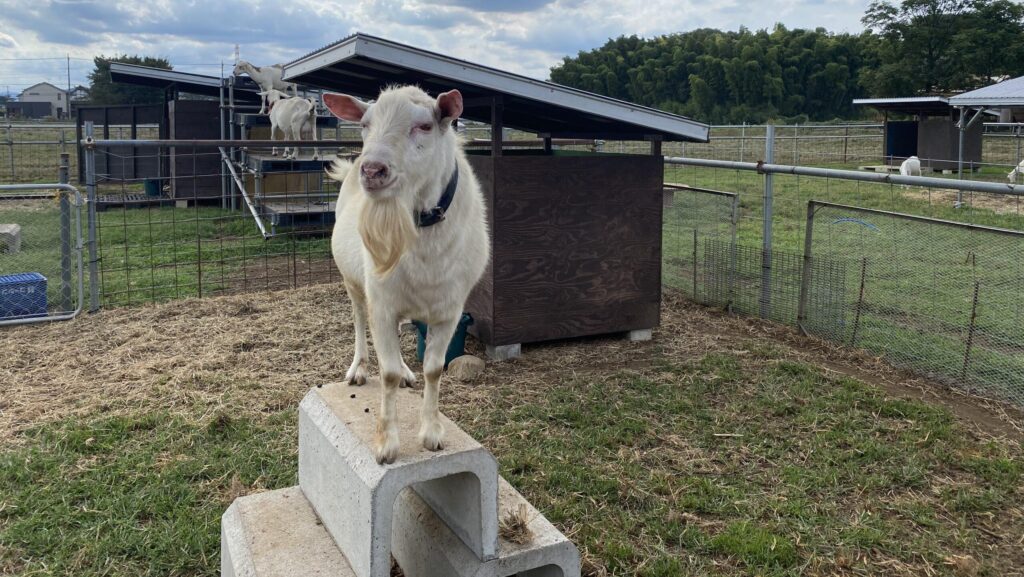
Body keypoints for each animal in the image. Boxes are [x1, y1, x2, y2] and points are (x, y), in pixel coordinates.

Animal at [323, 85, 491, 465]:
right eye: (365, 124)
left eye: (424, 126)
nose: (372, 170)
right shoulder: (382, 302)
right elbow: (385, 374)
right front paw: (386, 445)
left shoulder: (449, 311)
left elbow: (434, 368)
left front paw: (432, 434)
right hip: (354, 282)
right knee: (359, 319)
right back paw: (359, 369)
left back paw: (405, 372)